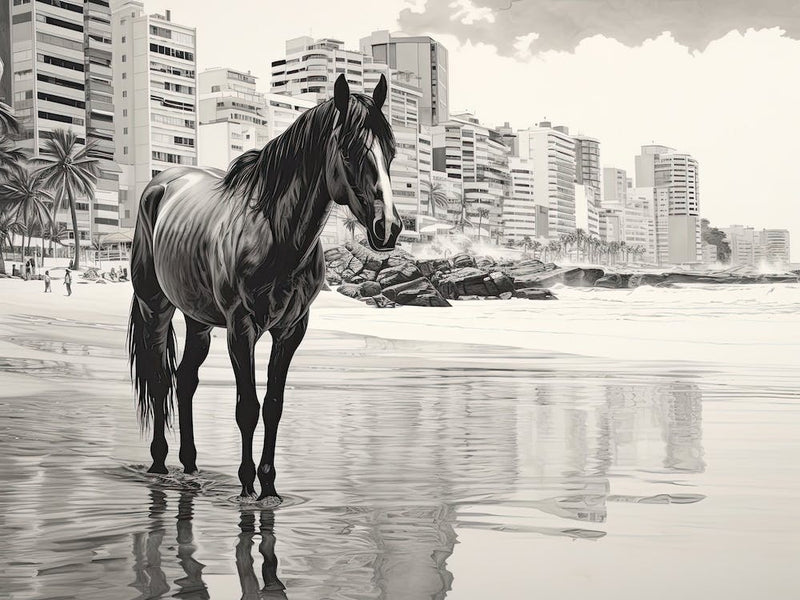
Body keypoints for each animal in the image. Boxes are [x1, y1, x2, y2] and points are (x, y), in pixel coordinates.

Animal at [128, 74, 401, 501]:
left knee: (185, 380)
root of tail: (162, 183)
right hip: (154, 307)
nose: (387, 228)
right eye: (348, 150)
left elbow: (273, 404)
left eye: (391, 151)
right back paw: (159, 464)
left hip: (197, 318)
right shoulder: (241, 330)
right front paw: (246, 485)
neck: (276, 234)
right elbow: (247, 408)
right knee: (159, 380)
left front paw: (269, 486)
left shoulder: (291, 331)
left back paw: (190, 466)